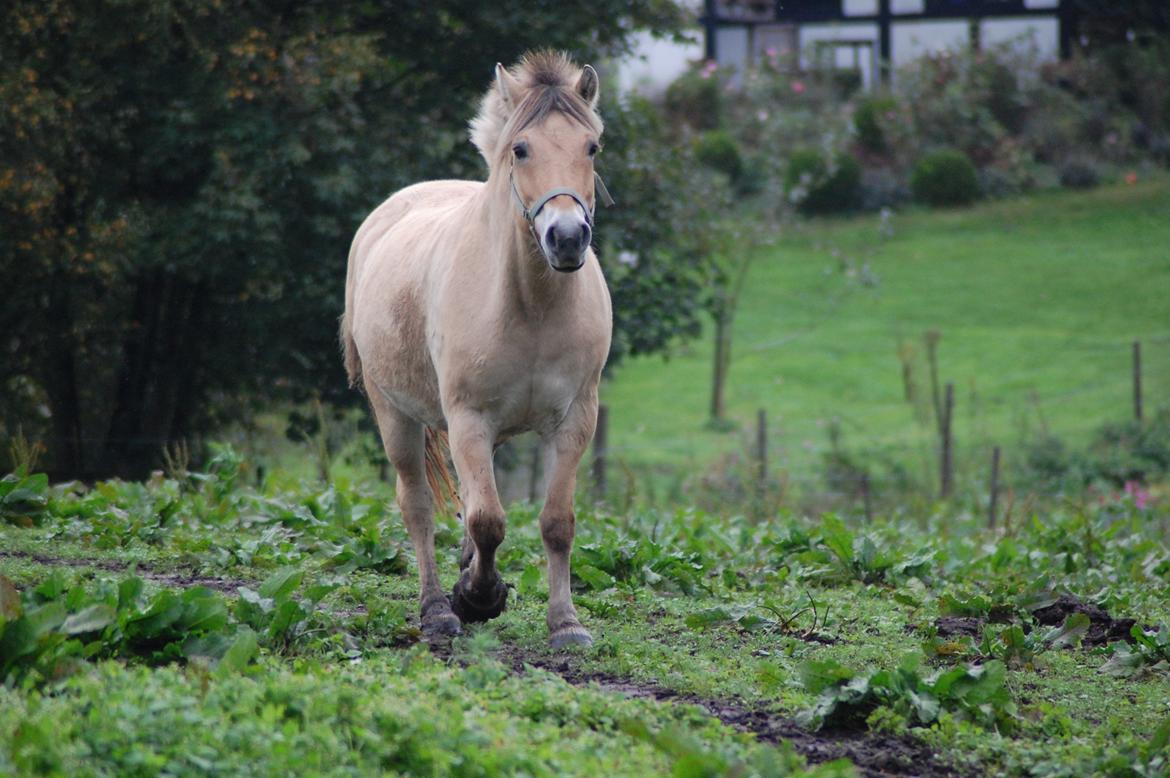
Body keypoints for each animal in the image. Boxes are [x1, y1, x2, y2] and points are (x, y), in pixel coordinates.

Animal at [339, 50, 613, 650]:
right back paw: (437, 609)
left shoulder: (574, 421)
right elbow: (488, 520)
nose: (566, 239)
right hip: (395, 415)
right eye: (521, 148)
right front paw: (478, 598)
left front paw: (566, 623)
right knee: (418, 506)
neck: (530, 306)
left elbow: (556, 521)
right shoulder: (468, 419)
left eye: (591, 147)